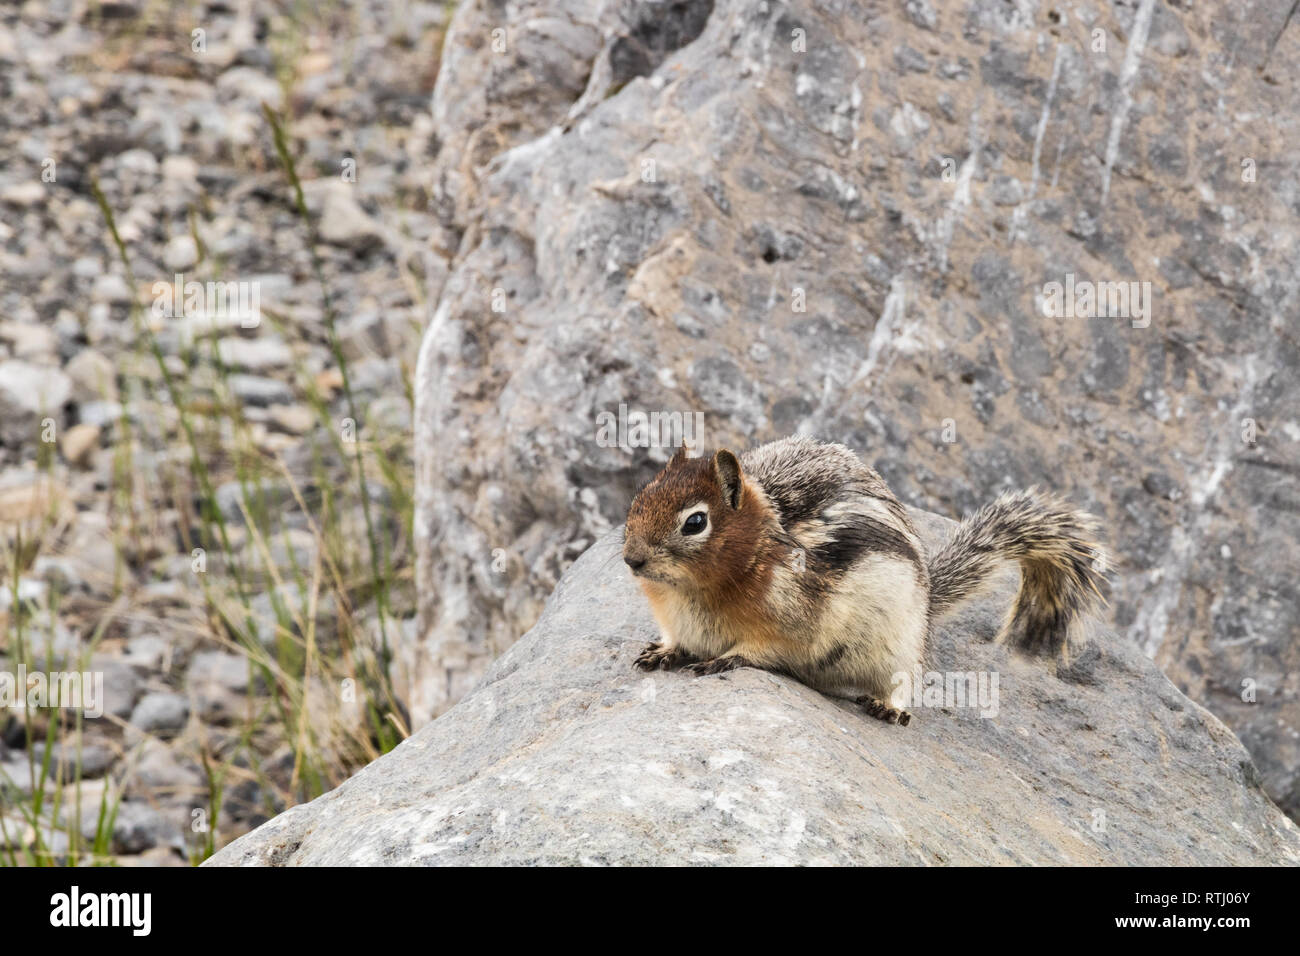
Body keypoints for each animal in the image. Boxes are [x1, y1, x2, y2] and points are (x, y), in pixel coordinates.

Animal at [626, 439, 1107, 723]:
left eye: (695, 522)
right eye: (640, 496)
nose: (632, 558)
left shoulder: (789, 626)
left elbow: (758, 650)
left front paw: (723, 660)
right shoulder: (677, 621)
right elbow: (675, 641)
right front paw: (662, 652)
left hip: (899, 646)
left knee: (904, 680)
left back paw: (886, 707)